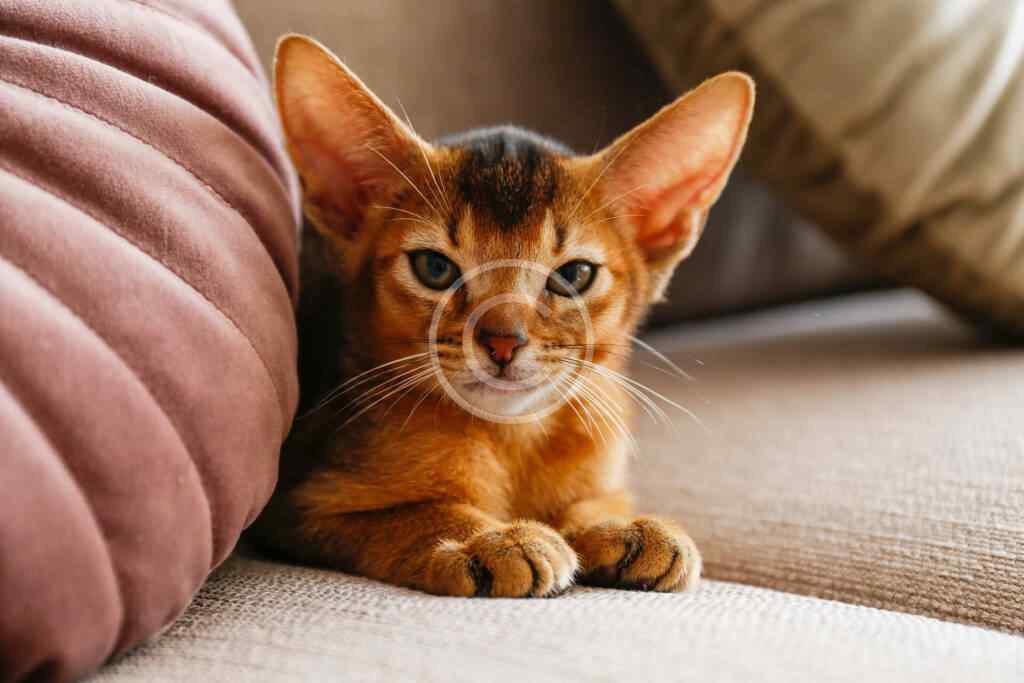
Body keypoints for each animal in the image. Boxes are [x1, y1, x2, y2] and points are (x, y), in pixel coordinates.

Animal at [249, 34, 754, 598]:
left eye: (574, 275)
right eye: (434, 268)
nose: (502, 343)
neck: (515, 440)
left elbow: (588, 503)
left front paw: (621, 526)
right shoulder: (302, 501)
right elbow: (420, 511)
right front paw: (492, 540)